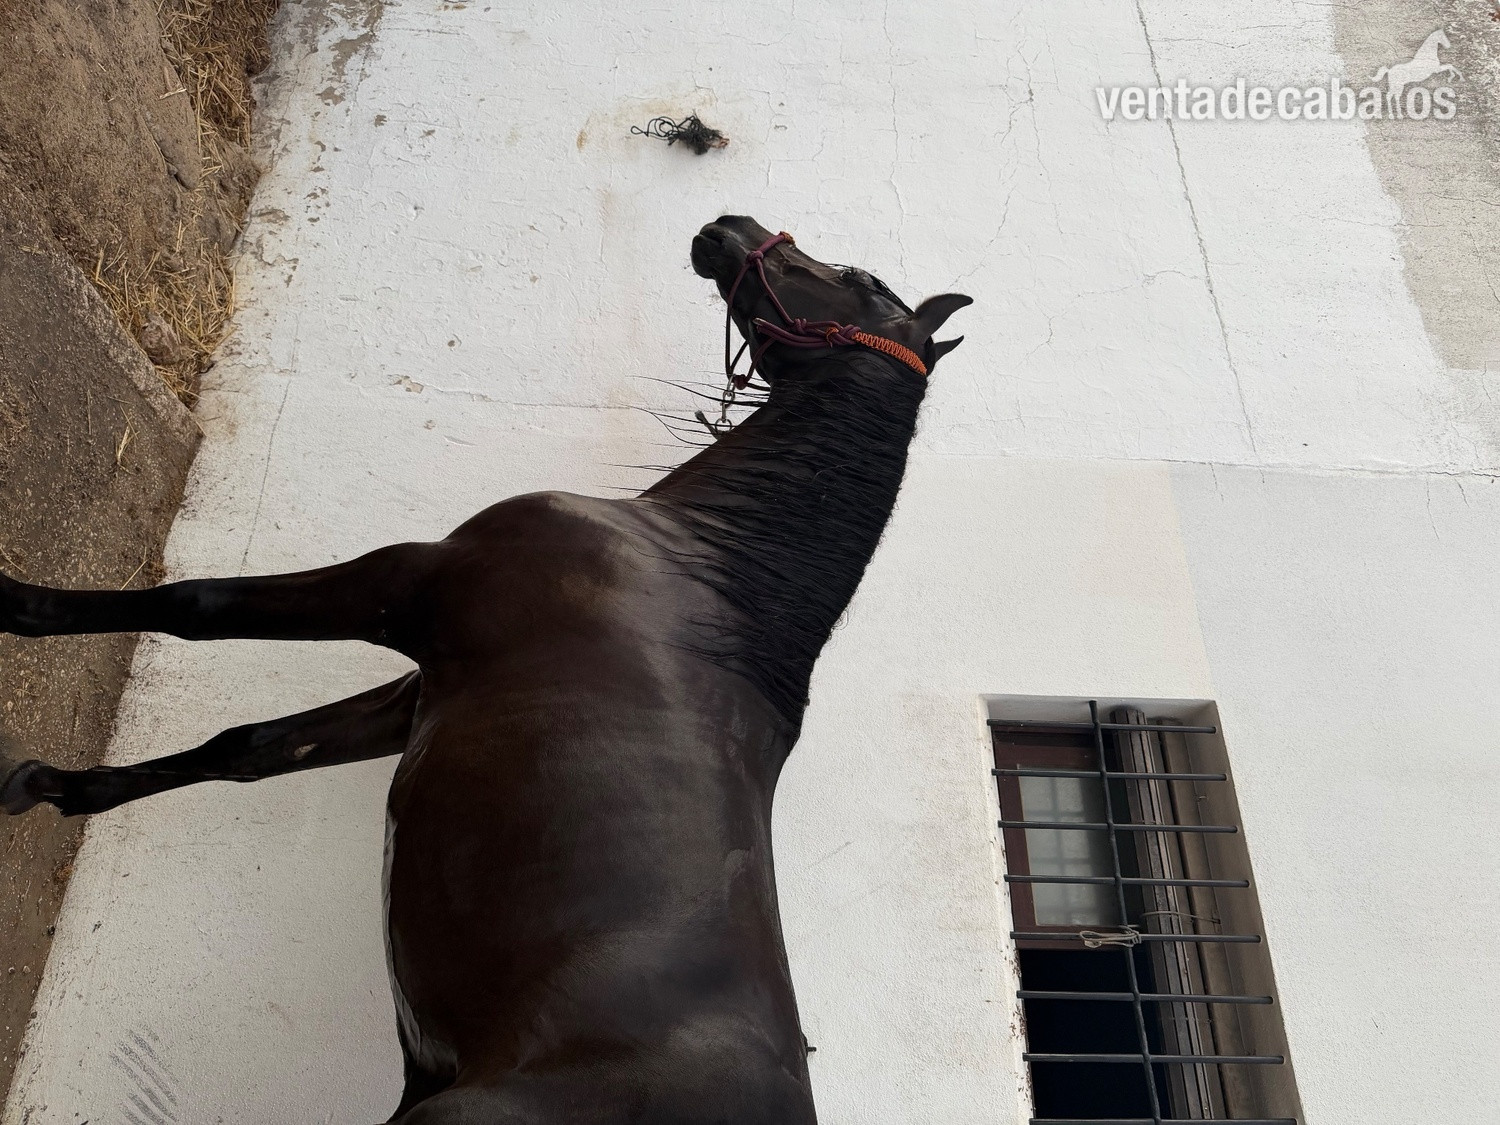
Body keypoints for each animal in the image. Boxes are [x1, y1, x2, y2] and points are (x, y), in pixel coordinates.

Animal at [1, 215, 970, 1124]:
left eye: (855, 278)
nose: (727, 228)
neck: (706, 567)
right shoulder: (418, 693)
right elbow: (249, 747)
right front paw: (54, 787)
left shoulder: (409, 584)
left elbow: (196, 605)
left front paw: (18, 603)